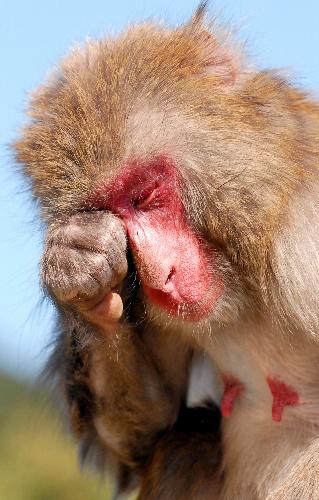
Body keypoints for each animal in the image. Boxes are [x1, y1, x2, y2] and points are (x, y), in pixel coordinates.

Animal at [13, 3, 319, 500]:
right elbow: (148, 428)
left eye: (144, 195)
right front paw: (81, 278)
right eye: (107, 212)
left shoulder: (307, 239)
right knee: (185, 439)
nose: (162, 277)